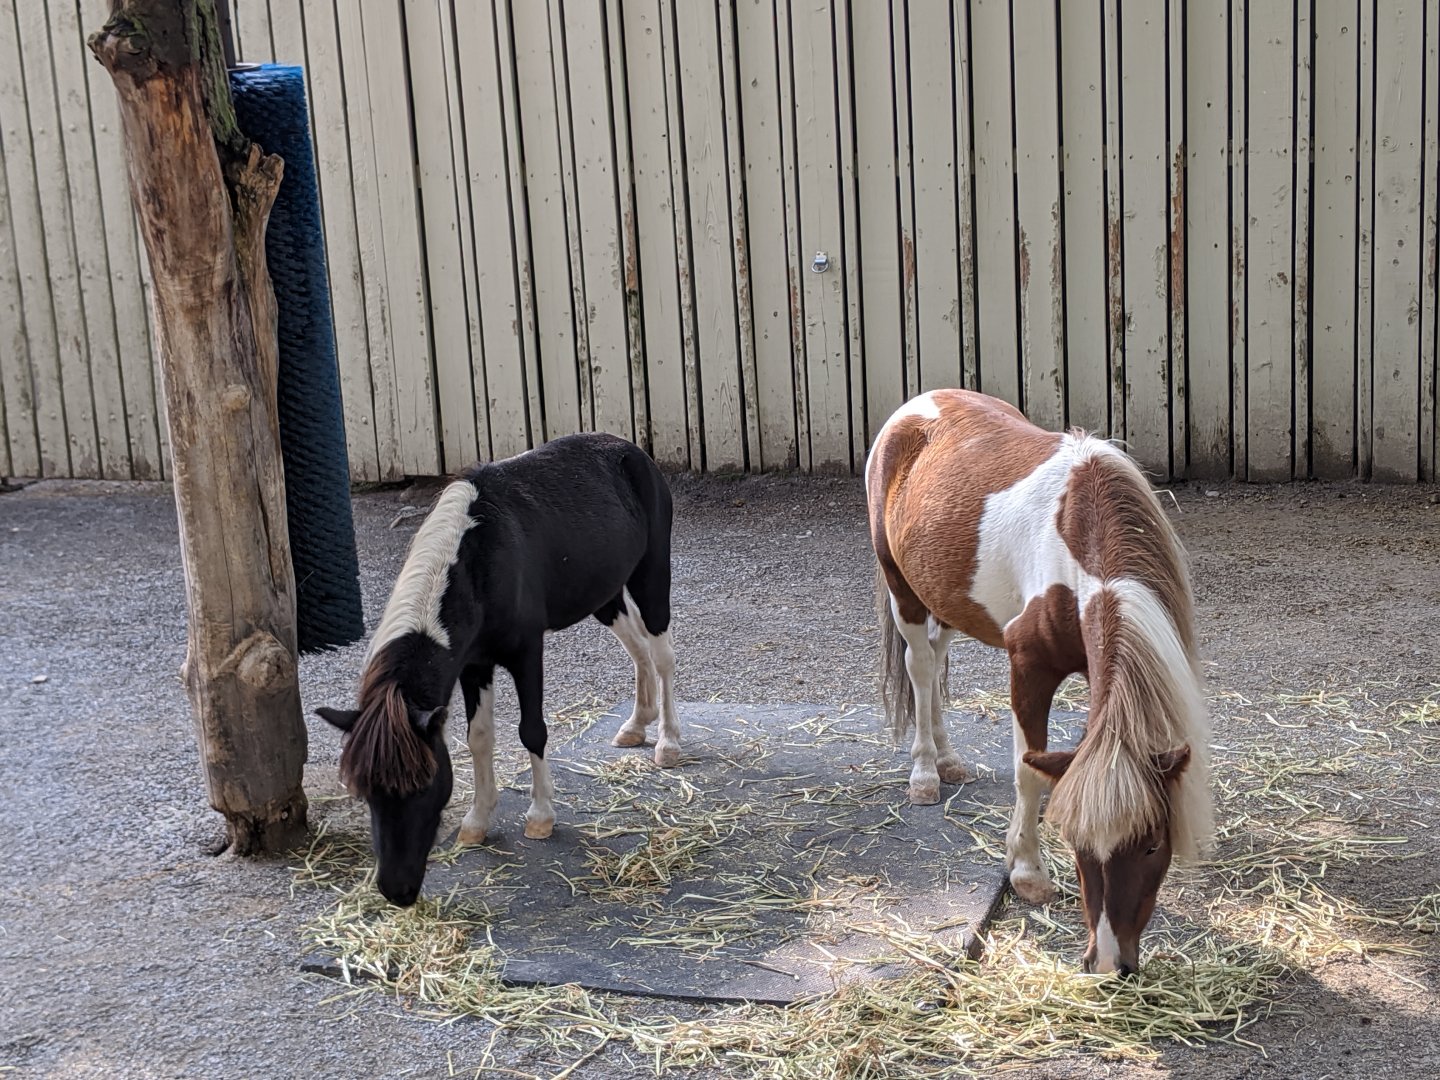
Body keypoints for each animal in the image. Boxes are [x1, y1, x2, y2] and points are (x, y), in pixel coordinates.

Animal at [316, 433, 680, 906]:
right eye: (365, 791)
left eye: (422, 785)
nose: (397, 890)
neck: (477, 562)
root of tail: (629, 450)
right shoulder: (474, 664)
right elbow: (479, 738)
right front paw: (477, 819)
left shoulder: (526, 653)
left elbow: (532, 731)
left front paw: (541, 816)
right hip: (605, 595)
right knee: (637, 649)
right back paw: (636, 724)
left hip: (651, 576)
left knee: (661, 654)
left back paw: (668, 742)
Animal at [866, 389, 1212, 975]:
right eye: (1076, 844)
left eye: (1151, 844)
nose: (1109, 964)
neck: (1081, 547)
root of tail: (922, 403)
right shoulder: (1028, 669)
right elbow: (1029, 772)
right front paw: (1028, 874)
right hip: (903, 590)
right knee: (920, 667)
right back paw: (925, 774)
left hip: (949, 600)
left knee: (936, 659)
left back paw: (949, 759)